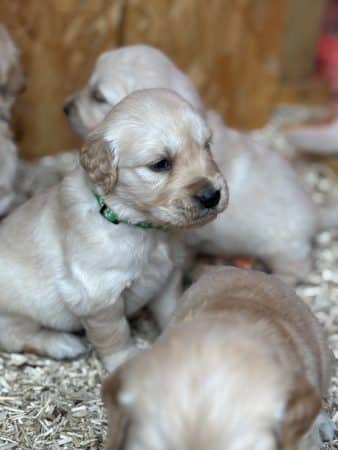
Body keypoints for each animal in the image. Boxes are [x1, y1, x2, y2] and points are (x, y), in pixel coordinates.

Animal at [0, 89, 228, 370]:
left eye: (207, 146)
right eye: (160, 164)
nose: (212, 196)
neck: (142, 227)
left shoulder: (166, 277)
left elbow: (172, 307)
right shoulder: (98, 294)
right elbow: (115, 334)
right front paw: (125, 360)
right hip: (18, 313)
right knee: (16, 336)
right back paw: (61, 343)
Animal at [63, 44, 338, 284]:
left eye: (98, 96)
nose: (65, 107)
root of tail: (315, 212)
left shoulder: (187, 236)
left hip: (284, 248)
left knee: (297, 269)